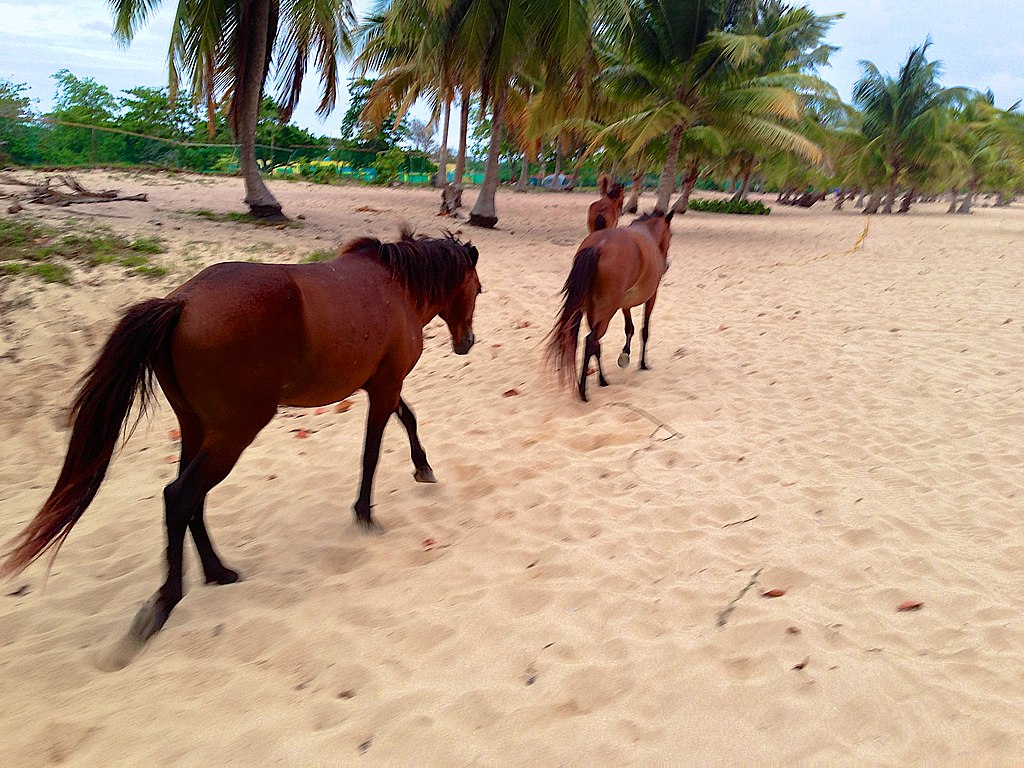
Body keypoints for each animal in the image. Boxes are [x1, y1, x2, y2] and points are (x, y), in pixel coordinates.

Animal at [2, 230, 481, 651]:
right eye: (477, 290)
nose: (468, 342)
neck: (397, 285)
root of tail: (180, 302)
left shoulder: (383, 386)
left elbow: (409, 420)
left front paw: (423, 467)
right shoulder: (384, 387)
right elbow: (373, 454)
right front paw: (365, 514)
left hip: (199, 430)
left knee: (190, 500)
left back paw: (217, 572)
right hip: (234, 434)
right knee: (180, 496)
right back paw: (166, 603)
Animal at [544, 210, 671, 403]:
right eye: (670, 236)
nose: (666, 266)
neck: (649, 234)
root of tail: (598, 246)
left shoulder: (625, 304)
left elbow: (629, 328)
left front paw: (625, 354)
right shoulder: (651, 297)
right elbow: (644, 331)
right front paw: (642, 363)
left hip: (592, 309)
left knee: (594, 343)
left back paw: (602, 380)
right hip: (607, 310)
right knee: (591, 341)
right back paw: (583, 391)